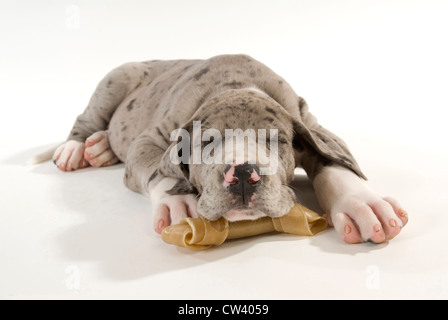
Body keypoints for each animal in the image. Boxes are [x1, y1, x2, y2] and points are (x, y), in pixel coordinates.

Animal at [50, 54, 408, 242]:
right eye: (207, 142)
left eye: (276, 139)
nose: (244, 174)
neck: (236, 86)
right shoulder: (151, 137)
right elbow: (158, 168)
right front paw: (178, 203)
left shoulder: (310, 122)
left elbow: (334, 159)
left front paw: (362, 203)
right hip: (118, 77)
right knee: (86, 118)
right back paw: (77, 147)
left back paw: (100, 147)